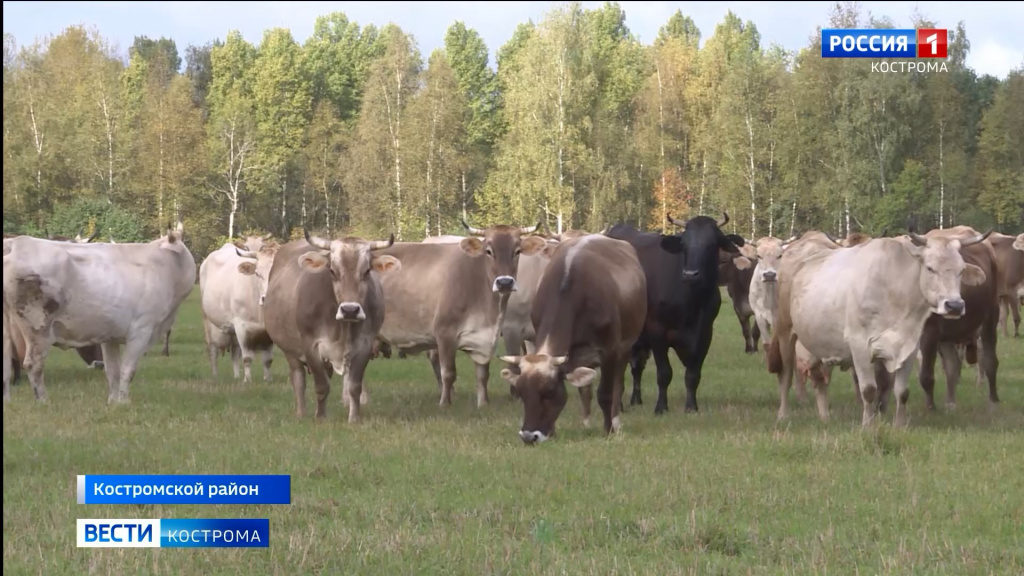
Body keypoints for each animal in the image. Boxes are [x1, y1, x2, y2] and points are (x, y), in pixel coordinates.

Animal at [2, 222, 195, 401]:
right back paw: (43, 402)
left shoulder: (110, 337)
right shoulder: (141, 331)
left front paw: (113, 403)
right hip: (38, 327)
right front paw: (124, 402)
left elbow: (113, 371)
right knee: (33, 365)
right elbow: (127, 370)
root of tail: (15, 243)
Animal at [264, 229, 399, 422]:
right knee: (298, 379)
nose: (350, 310)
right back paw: (301, 413)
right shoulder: (311, 345)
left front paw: (354, 419)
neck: (343, 328)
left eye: (366, 271)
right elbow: (321, 386)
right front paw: (320, 418)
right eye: (332, 271)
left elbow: (354, 387)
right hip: (290, 351)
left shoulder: (365, 345)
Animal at [497, 230, 647, 440]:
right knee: (586, 389)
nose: (528, 436)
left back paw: (615, 422)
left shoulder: (609, 351)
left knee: (617, 386)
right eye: (522, 391)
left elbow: (606, 394)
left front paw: (608, 430)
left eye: (549, 391)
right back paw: (586, 422)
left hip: (624, 348)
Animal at [606, 211, 745, 412]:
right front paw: (661, 407)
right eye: (684, 245)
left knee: (636, 365)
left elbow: (693, 374)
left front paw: (691, 407)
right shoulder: (657, 331)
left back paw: (636, 400)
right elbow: (664, 373)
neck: (692, 304)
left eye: (712, 244)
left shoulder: (704, 334)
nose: (690, 274)